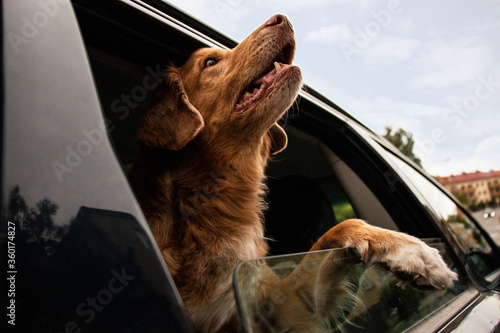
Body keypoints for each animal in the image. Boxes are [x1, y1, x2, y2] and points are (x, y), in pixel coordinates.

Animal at [131, 14, 458, 330]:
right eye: (210, 63)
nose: (281, 18)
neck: (215, 205)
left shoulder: (278, 307)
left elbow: (337, 230)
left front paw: (411, 251)